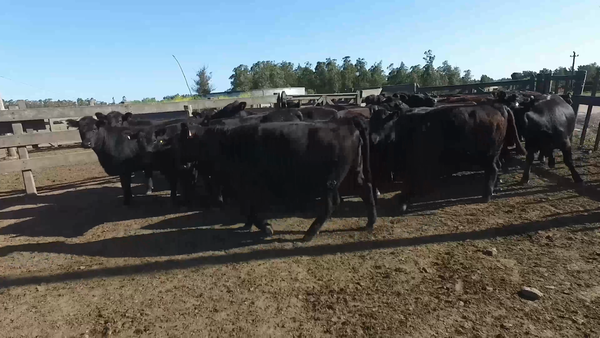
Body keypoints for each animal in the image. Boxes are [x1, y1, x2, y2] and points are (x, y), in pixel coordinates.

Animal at [176, 116, 378, 240]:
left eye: (180, 141)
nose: (176, 160)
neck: (226, 143)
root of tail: (346, 122)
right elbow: (247, 209)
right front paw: (248, 225)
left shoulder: (246, 185)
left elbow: (249, 208)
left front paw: (265, 226)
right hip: (353, 172)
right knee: (365, 189)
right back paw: (370, 222)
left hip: (330, 180)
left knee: (331, 203)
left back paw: (309, 234)